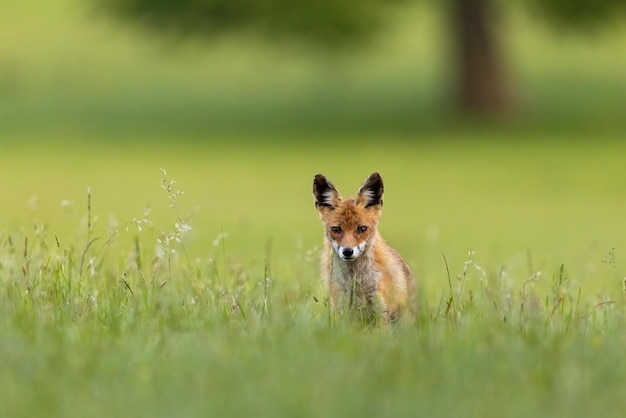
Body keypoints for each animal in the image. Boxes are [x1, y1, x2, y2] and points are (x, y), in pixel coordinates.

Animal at [312, 173, 414, 324]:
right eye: (336, 229)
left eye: (362, 228)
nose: (348, 251)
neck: (356, 281)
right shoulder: (344, 310)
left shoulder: (380, 311)